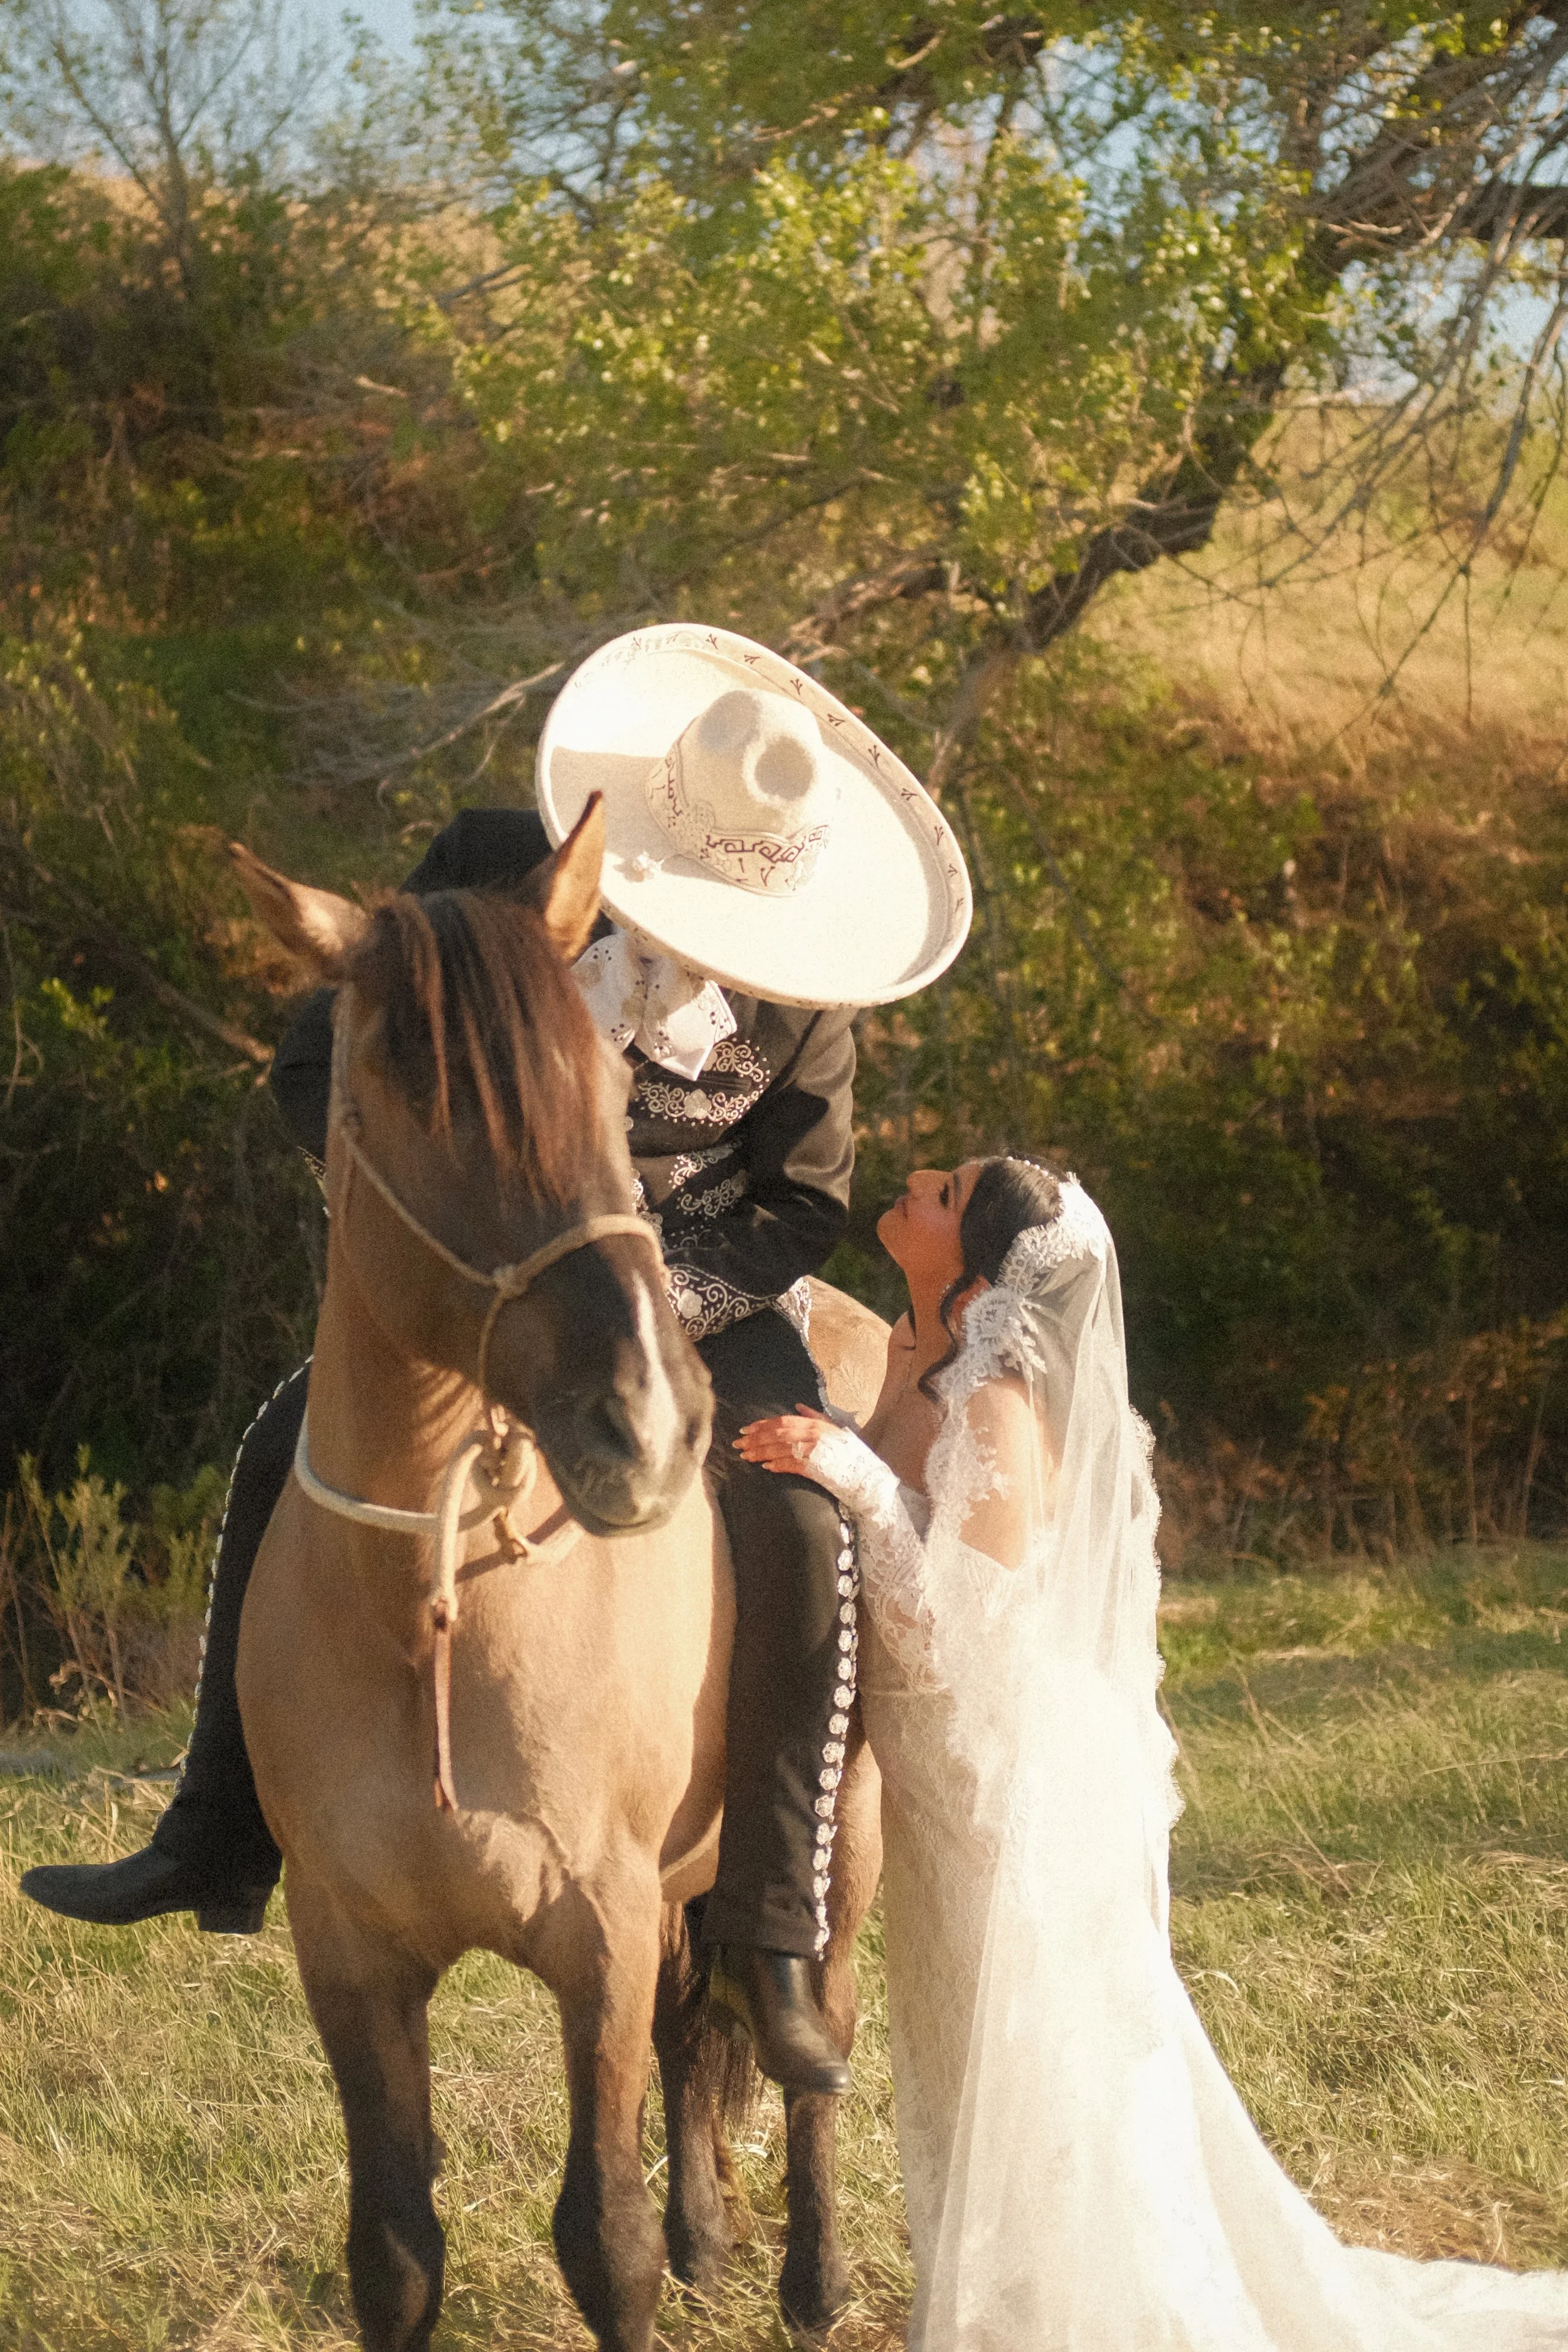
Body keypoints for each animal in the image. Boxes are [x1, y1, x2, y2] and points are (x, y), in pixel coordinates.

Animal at [228, 801, 886, 2352]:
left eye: (599, 1088)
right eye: (399, 1094)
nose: (646, 1424)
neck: (431, 1611)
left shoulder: (597, 1931)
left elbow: (606, 2242)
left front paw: (676, 2255)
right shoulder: (349, 1957)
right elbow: (395, 2250)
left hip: (844, 1864)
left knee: (808, 2041)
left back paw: (814, 2278)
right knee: (694, 2032)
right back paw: (717, 2239)